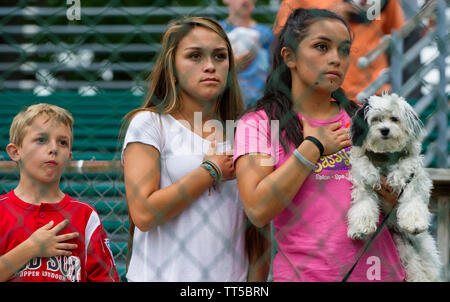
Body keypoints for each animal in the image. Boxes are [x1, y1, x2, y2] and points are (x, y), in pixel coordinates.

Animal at [350, 93, 442, 282]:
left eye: (394, 119)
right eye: (375, 120)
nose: (385, 130)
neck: (385, 156)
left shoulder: (413, 179)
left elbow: (413, 200)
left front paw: (414, 223)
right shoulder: (364, 182)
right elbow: (363, 205)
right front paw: (360, 228)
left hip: (423, 249)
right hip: (403, 248)